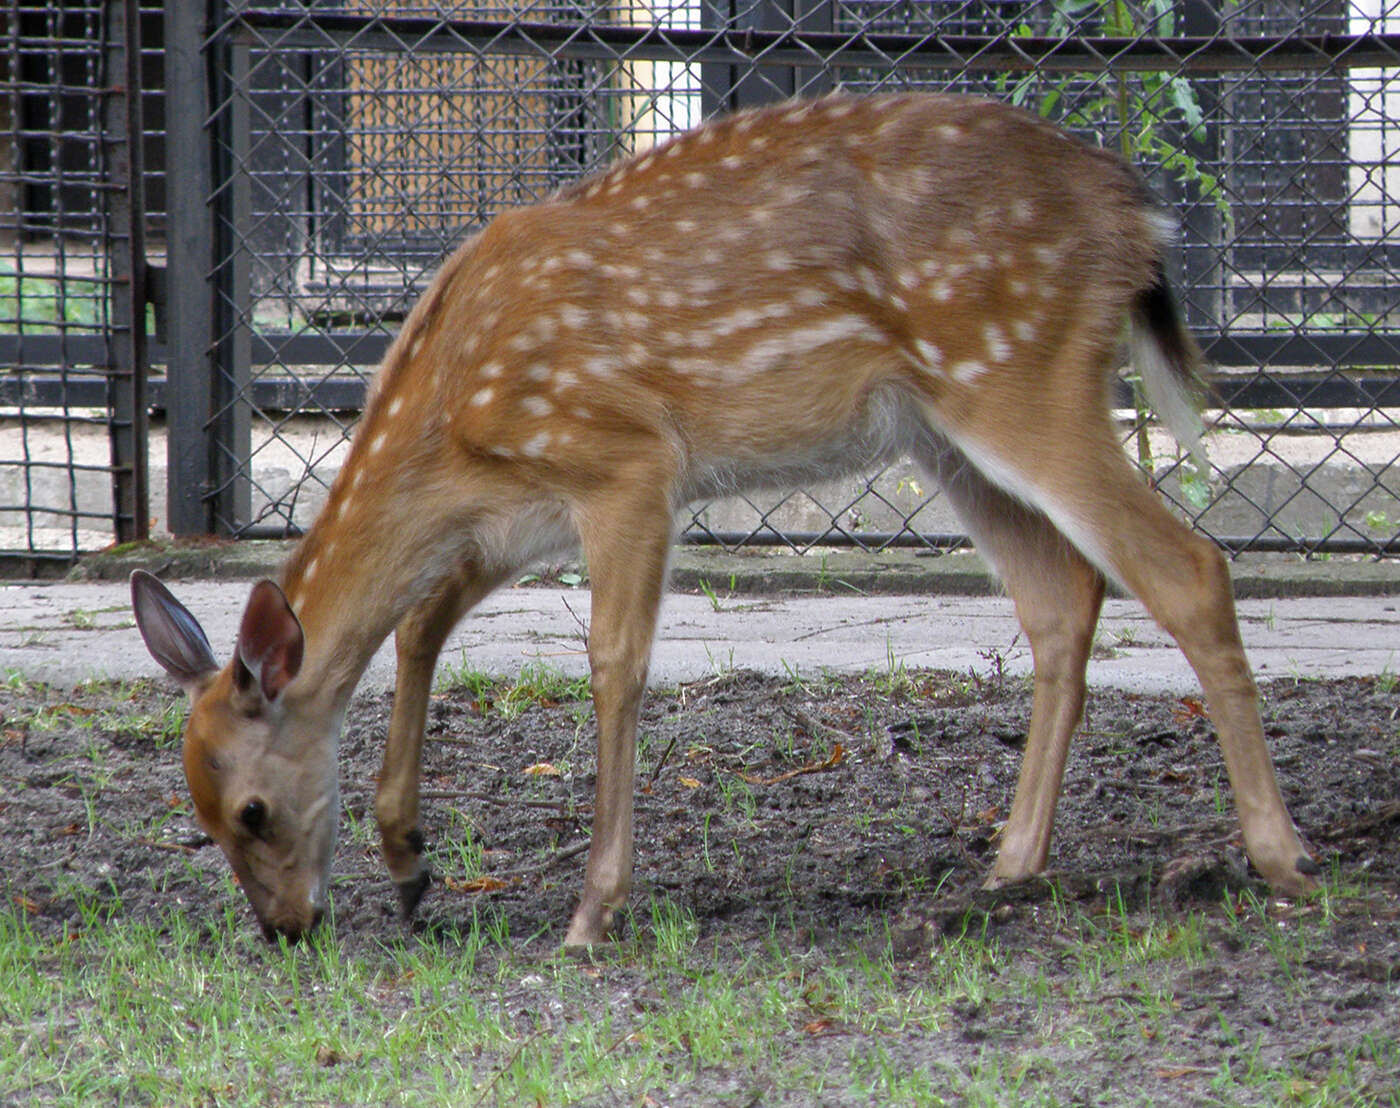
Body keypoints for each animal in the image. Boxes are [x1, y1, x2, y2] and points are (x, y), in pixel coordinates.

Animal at [126, 93, 1316, 946]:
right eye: (201, 818)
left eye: (251, 812)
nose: (285, 929)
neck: (450, 419)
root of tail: (1137, 212)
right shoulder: (512, 514)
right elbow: (421, 627)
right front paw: (413, 860)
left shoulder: (625, 463)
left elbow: (613, 663)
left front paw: (591, 909)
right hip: (942, 426)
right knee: (1062, 596)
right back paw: (1009, 864)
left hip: (1021, 373)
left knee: (1189, 565)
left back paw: (1280, 856)